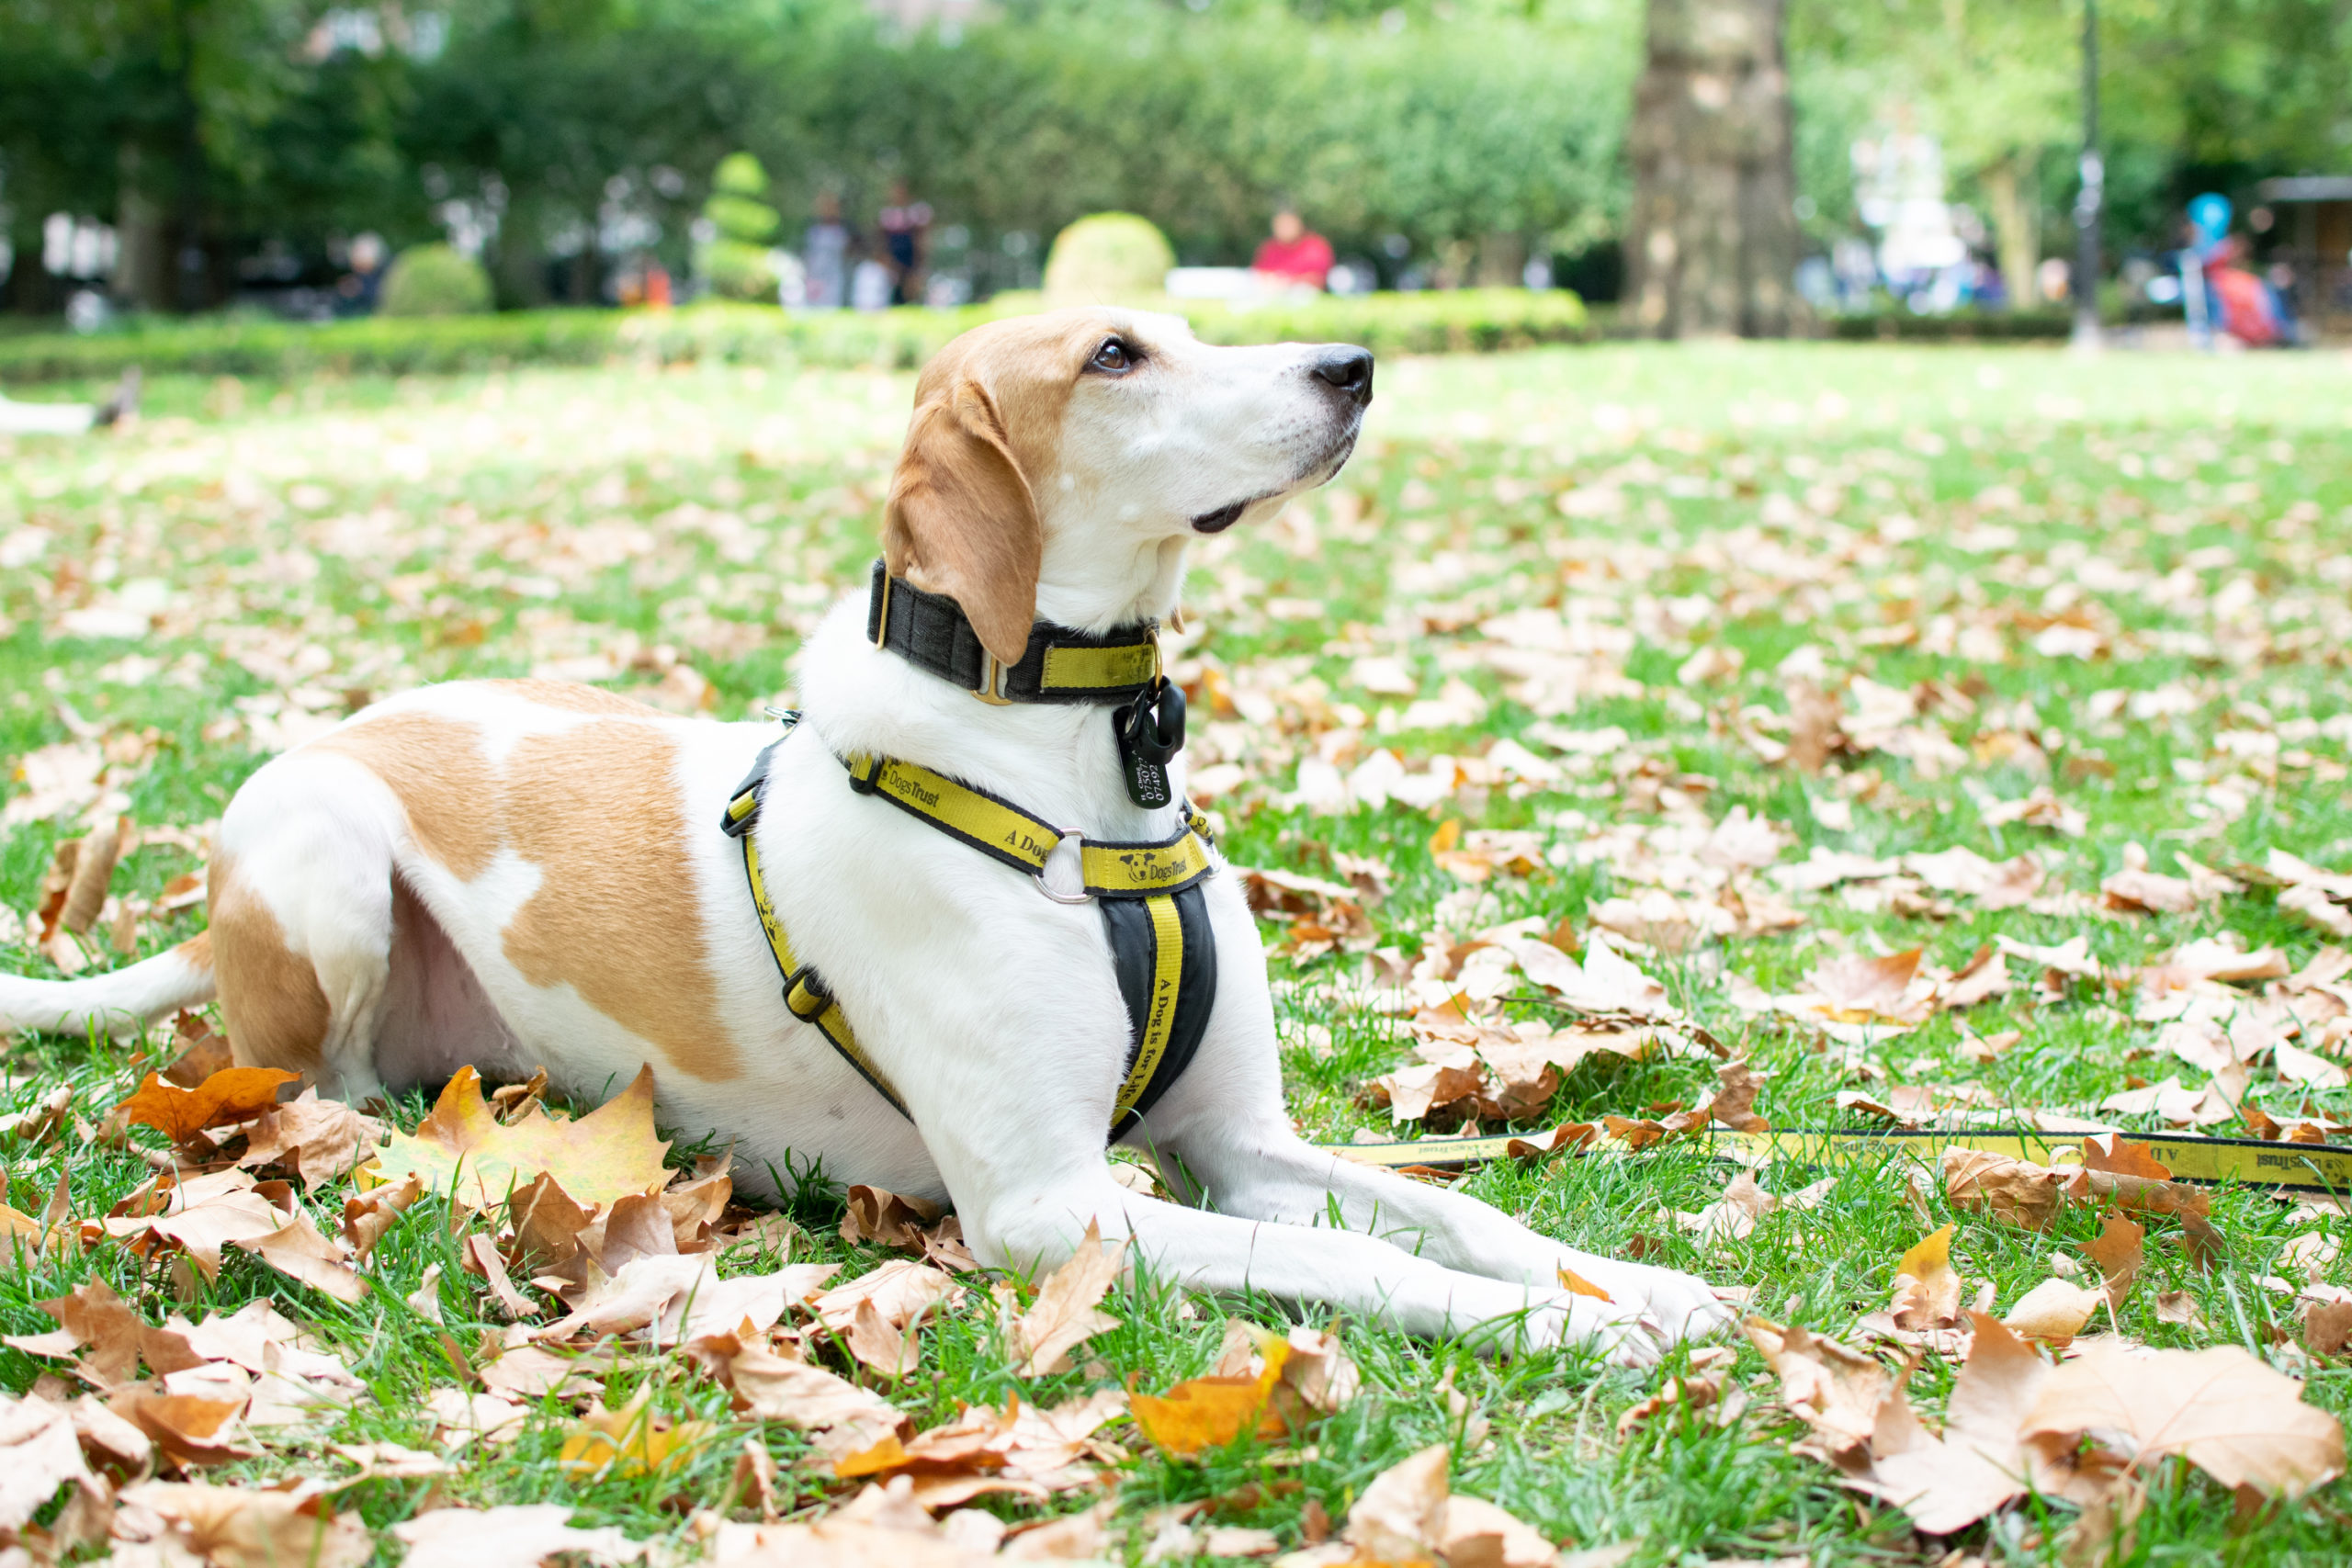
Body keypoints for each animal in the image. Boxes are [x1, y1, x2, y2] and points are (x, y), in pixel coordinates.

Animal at [0, 305, 1731, 1363]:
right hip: (328, 844)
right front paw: (1581, 1328)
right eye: (1117, 352)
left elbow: (1464, 1210)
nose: (1356, 363)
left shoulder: (1244, 1144)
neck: (1068, 761)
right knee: (315, 1089)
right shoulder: (1050, 1209)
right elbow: (1367, 1265)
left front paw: (1641, 1282)